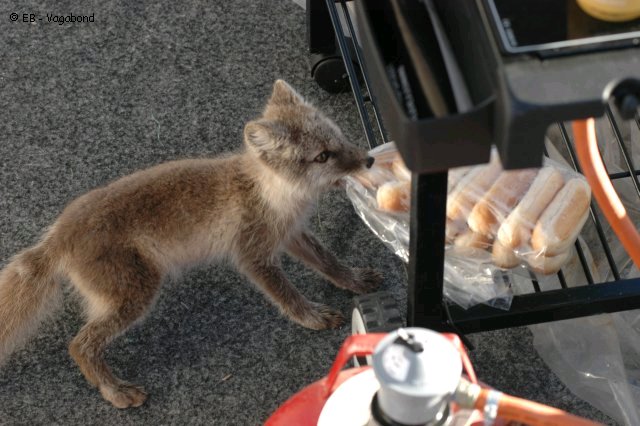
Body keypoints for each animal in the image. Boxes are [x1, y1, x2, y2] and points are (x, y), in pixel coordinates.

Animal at [0, 80, 382, 408]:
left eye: (338, 136)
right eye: (322, 156)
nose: (369, 160)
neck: (270, 190)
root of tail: (58, 235)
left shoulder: (291, 234)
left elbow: (329, 262)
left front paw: (353, 280)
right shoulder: (253, 255)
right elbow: (287, 296)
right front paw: (312, 316)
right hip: (135, 293)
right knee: (80, 345)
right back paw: (115, 390)